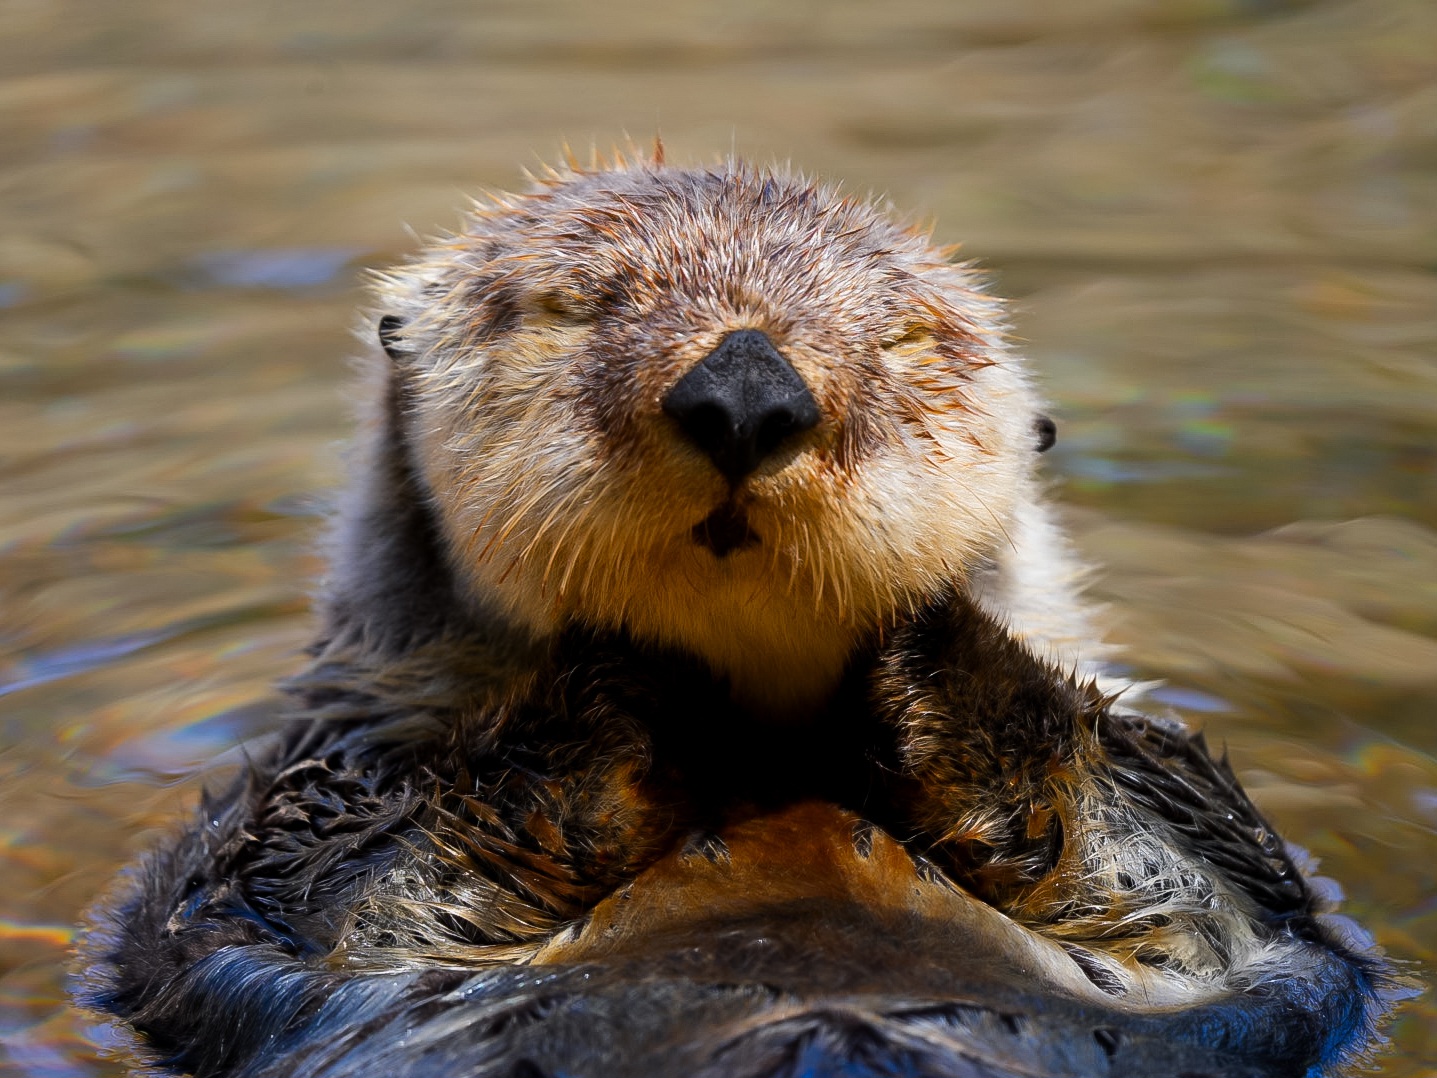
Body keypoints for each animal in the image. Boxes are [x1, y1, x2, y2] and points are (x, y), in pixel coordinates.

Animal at [76, 151, 1397, 1078]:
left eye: (905, 341)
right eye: (574, 305)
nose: (746, 387)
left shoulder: (1242, 909)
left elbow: (1196, 860)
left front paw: (929, 644)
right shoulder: (285, 844)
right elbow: (346, 873)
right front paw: (624, 680)